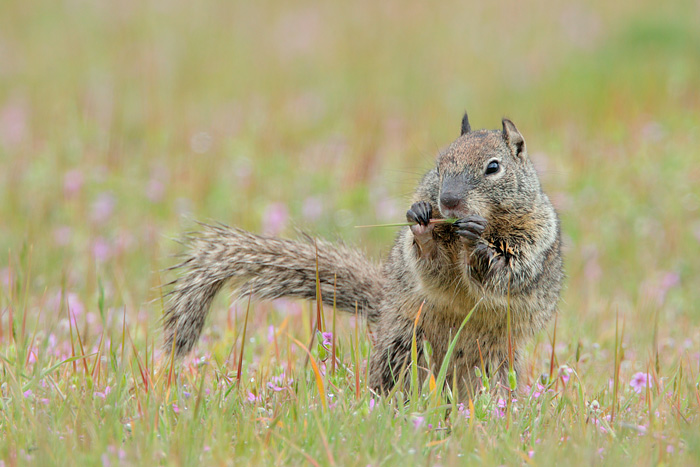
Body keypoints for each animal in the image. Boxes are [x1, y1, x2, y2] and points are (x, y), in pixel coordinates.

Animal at [163, 115, 564, 396]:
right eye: (439, 165)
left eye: (493, 167)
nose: (447, 201)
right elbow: (431, 267)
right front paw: (422, 224)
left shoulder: (534, 241)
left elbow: (507, 272)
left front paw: (478, 244)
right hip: (402, 342)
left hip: (494, 361)